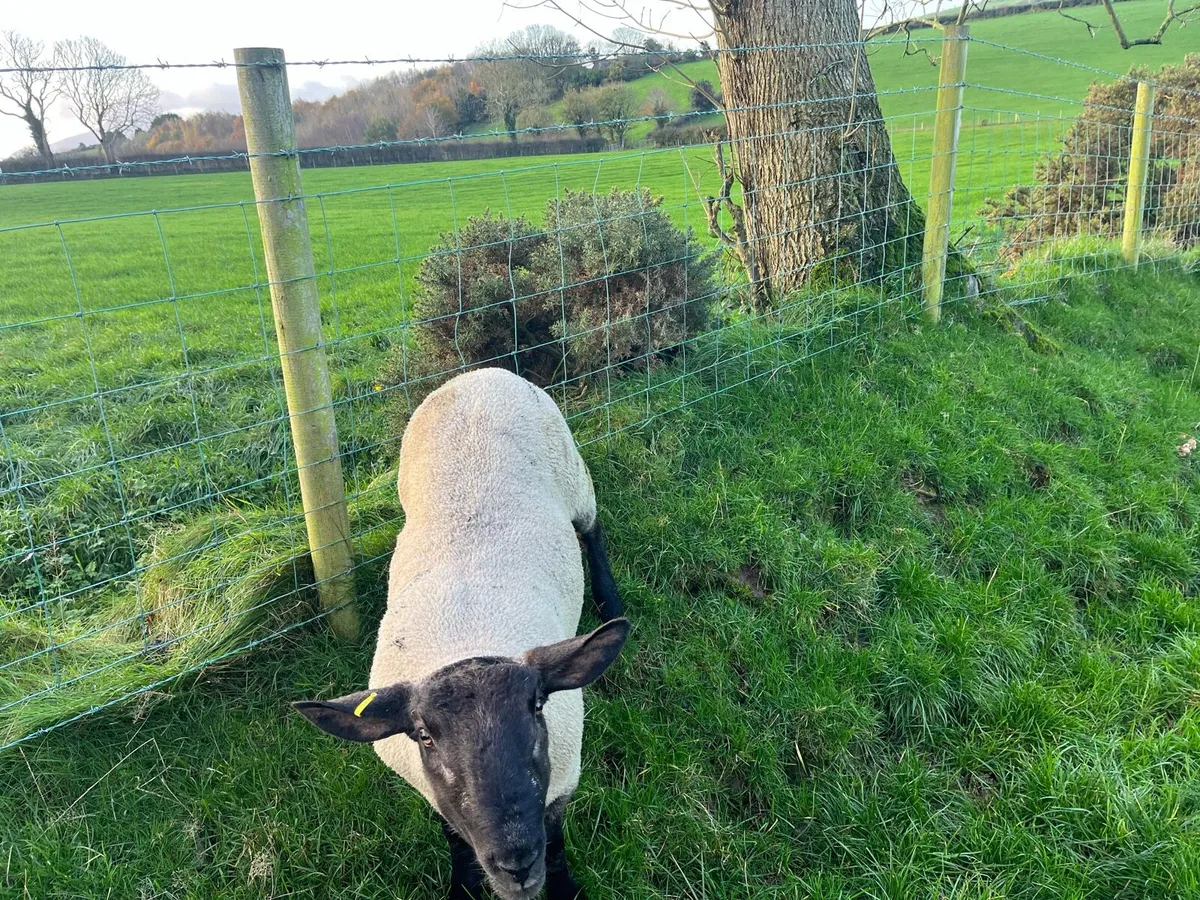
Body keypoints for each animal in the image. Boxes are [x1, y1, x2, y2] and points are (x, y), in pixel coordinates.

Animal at [294, 367, 627, 900]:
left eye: (537, 707)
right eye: (424, 736)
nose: (515, 864)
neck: (468, 638)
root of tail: (481, 373)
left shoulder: (563, 780)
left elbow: (555, 844)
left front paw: (563, 887)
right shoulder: (436, 795)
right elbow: (455, 840)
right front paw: (463, 888)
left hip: (573, 473)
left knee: (591, 528)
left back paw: (609, 600)